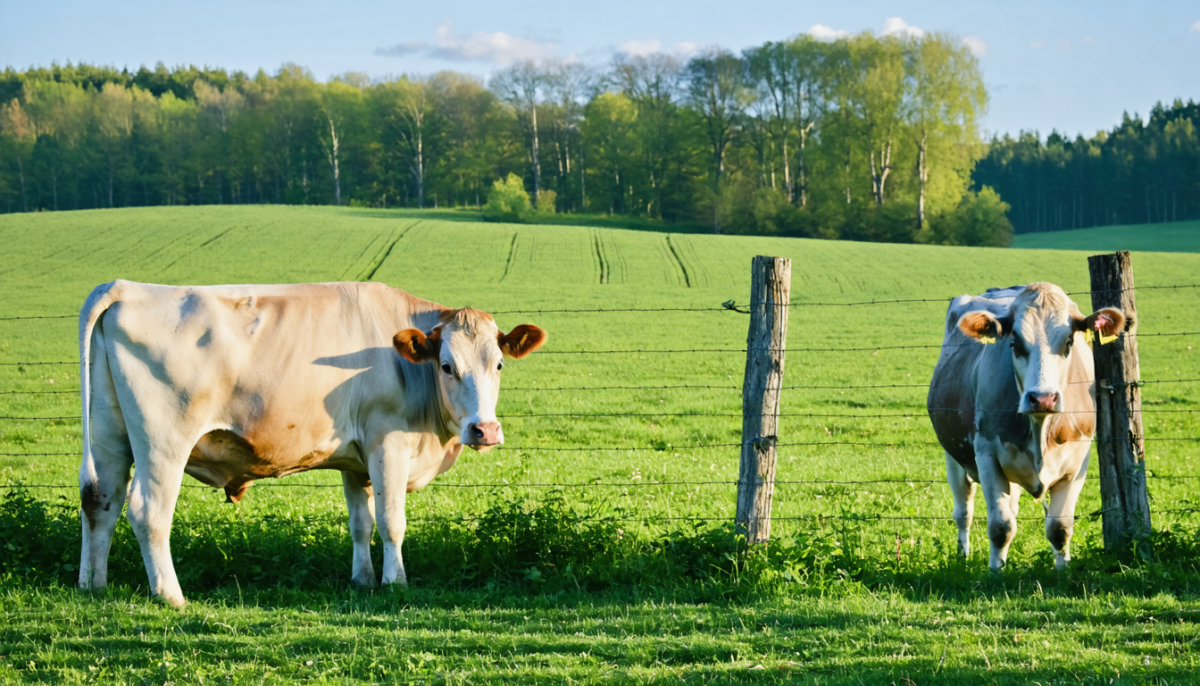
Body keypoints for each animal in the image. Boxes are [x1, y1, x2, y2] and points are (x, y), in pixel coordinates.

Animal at [76, 280, 545, 607]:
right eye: (447, 366)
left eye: (498, 364)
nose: (484, 430)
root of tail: (126, 287)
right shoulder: (387, 444)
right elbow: (391, 520)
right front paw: (395, 583)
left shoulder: (358, 460)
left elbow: (361, 522)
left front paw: (362, 580)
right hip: (163, 444)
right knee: (148, 511)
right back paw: (170, 595)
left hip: (109, 435)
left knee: (100, 501)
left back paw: (93, 585)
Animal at [927, 282, 1124, 571]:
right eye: (1014, 343)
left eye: (1069, 342)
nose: (1042, 398)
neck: (1040, 430)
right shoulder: (987, 455)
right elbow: (1001, 526)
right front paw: (996, 572)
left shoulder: (1078, 463)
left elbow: (1060, 527)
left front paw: (1062, 570)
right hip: (953, 455)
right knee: (964, 511)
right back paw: (963, 556)